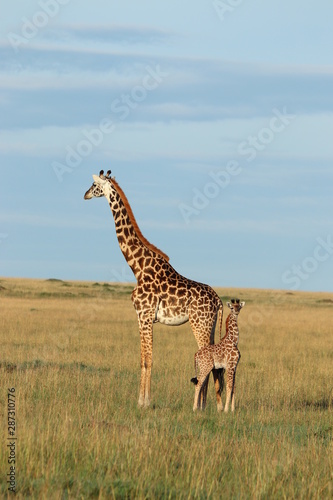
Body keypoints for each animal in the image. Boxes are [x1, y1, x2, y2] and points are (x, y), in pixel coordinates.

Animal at [83, 170, 223, 408]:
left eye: (94, 185)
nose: (85, 195)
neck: (137, 267)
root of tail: (219, 301)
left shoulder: (145, 314)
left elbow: (147, 359)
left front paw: (143, 402)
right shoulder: (143, 317)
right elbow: (143, 359)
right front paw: (143, 399)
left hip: (200, 324)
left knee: (207, 358)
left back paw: (199, 405)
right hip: (210, 326)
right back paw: (214, 405)